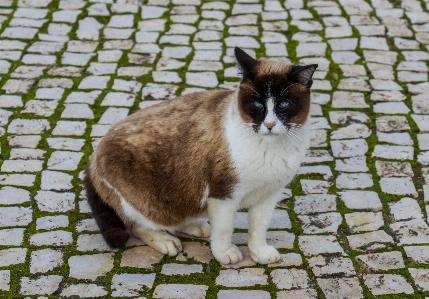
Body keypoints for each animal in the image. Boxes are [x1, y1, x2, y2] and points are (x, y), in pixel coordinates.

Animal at [84, 48, 318, 266]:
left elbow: (258, 228)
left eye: (284, 104)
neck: (271, 148)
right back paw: (165, 240)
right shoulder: (224, 195)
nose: (269, 125)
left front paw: (258, 253)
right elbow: (224, 229)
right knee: (138, 224)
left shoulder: (268, 195)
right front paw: (225, 254)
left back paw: (196, 226)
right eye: (258, 104)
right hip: (142, 201)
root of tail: (93, 155)